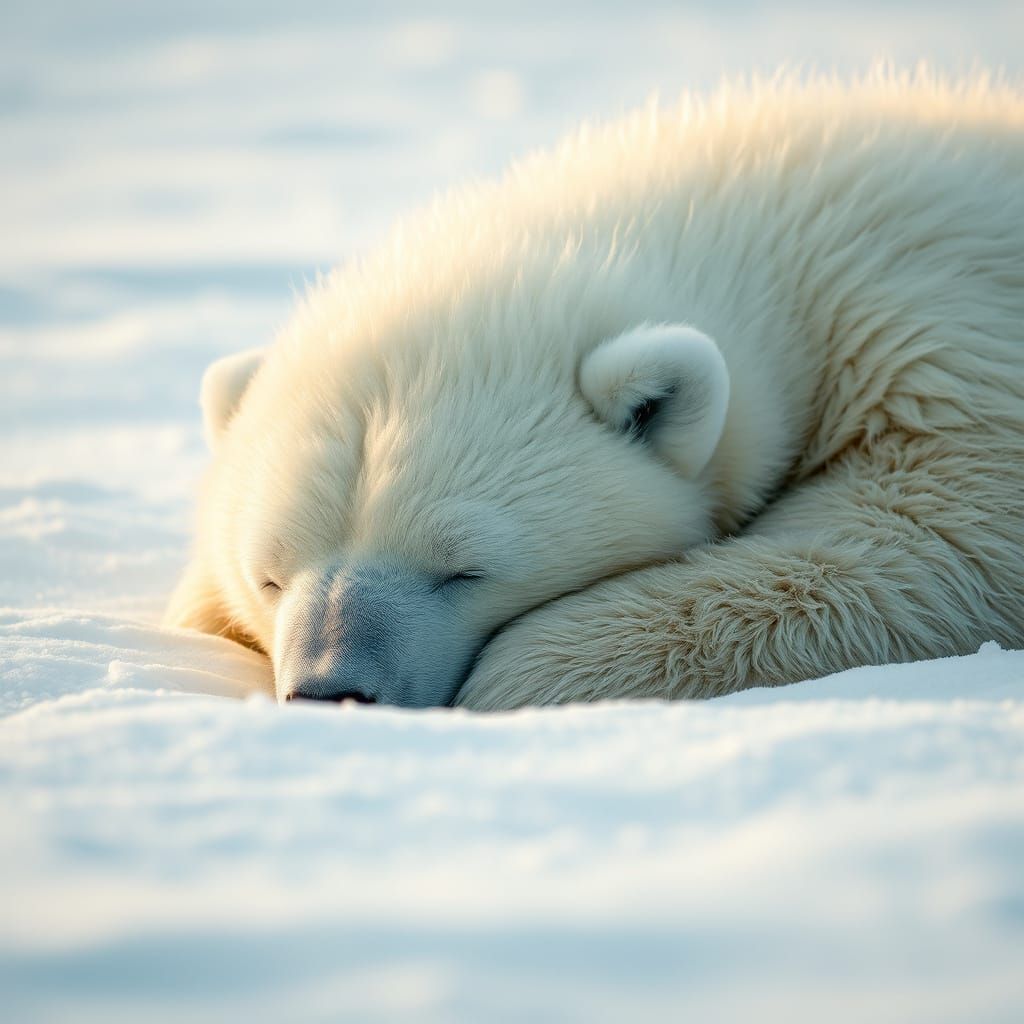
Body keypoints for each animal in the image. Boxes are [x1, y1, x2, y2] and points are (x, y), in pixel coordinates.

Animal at [166, 72, 1024, 710]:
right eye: (269, 576)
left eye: (465, 570)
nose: (330, 689)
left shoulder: (941, 335)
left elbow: (937, 536)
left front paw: (524, 670)